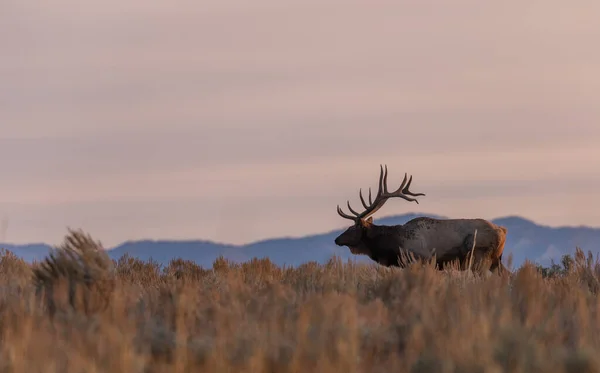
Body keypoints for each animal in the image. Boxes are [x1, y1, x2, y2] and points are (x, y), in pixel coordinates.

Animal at [332, 165, 506, 274]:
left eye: (352, 228)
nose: (336, 239)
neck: (395, 244)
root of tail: (503, 231)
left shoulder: (422, 260)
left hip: (479, 258)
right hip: (495, 260)